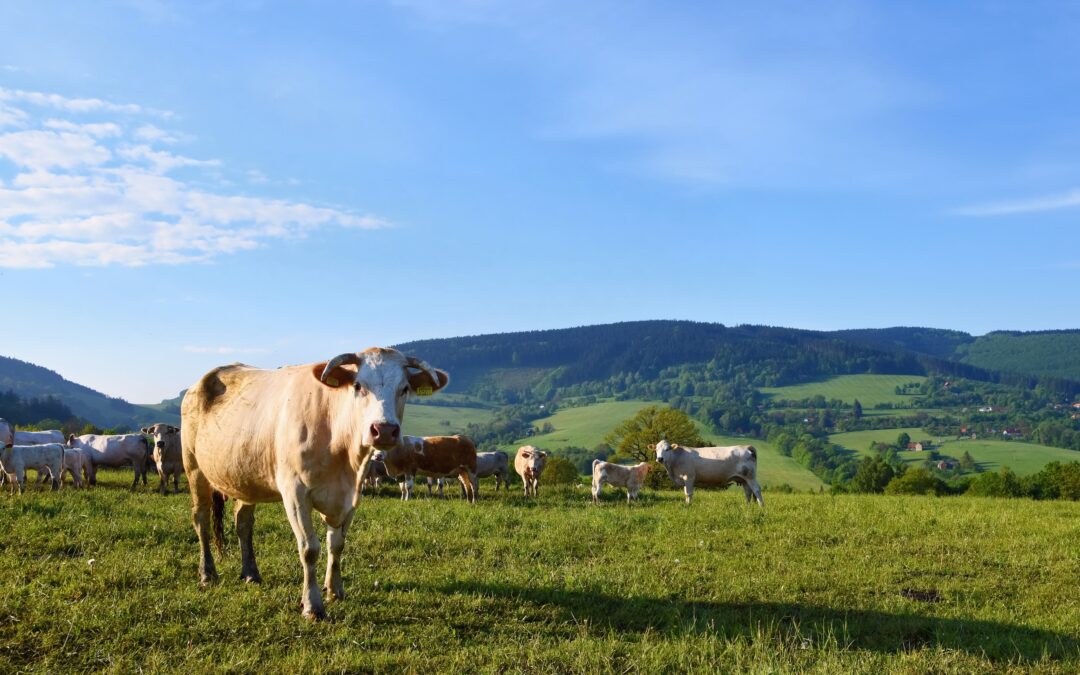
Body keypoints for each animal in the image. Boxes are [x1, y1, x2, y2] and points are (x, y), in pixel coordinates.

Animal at [180, 345, 447, 617]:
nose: (383, 430)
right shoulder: (295, 494)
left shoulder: (350, 496)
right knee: (201, 520)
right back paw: (207, 573)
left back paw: (251, 573)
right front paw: (312, 605)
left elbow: (337, 544)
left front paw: (335, 590)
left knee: (243, 523)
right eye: (358, 386)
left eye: (404, 388)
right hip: (194, 468)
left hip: (245, 476)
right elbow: (309, 548)